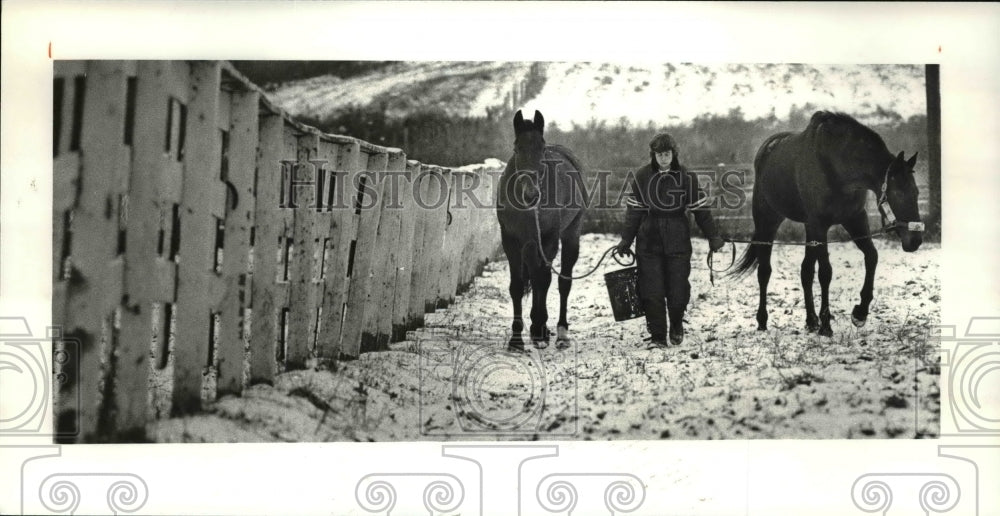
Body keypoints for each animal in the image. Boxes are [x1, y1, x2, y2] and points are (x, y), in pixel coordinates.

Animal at [498, 110, 588, 350]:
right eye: (517, 148)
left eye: (542, 147)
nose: (531, 194)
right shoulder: (511, 241)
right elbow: (518, 286)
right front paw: (517, 339)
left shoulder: (549, 239)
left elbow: (543, 281)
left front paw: (539, 330)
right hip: (530, 245)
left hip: (570, 235)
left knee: (562, 282)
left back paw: (560, 332)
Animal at [732, 111, 924, 336]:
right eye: (898, 194)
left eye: (916, 192)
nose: (915, 240)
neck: (838, 168)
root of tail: (765, 150)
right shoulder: (820, 225)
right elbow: (825, 272)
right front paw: (826, 324)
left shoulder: (855, 219)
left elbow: (871, 256)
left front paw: (860, 312)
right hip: (768, 221)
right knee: (764, 271)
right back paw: (763, 320)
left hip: (809, 228)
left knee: (806, 271)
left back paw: (810, 320)